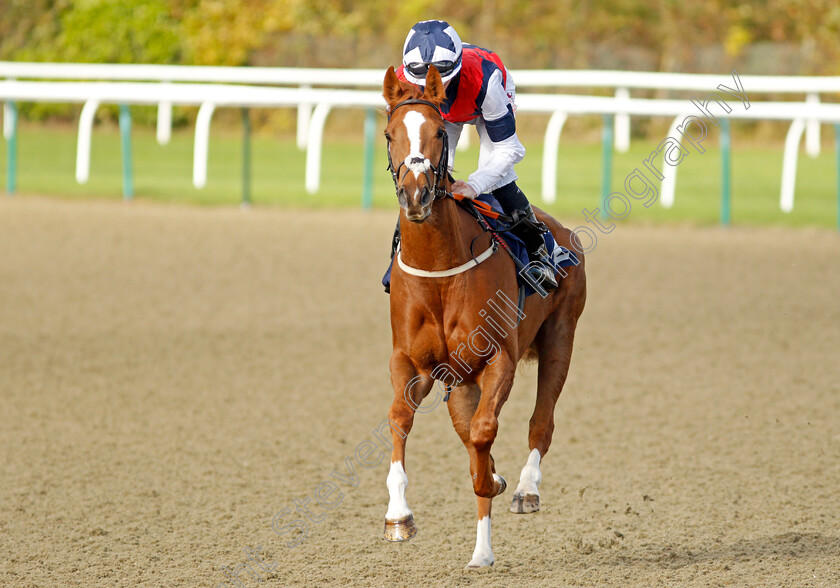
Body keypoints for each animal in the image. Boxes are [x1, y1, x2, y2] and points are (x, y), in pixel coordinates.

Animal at [384, 65, 588, 568]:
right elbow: (400, 419)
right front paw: (398, 515)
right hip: (459, 381)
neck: (440, 271)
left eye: (439, 132)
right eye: (390, 133)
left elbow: (484, 433)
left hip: (561, 338)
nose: (416, 195)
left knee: (541, 421)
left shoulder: (499, 359)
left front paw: (492, 485)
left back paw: (522, 493)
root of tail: (562, 231)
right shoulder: (411, 363)